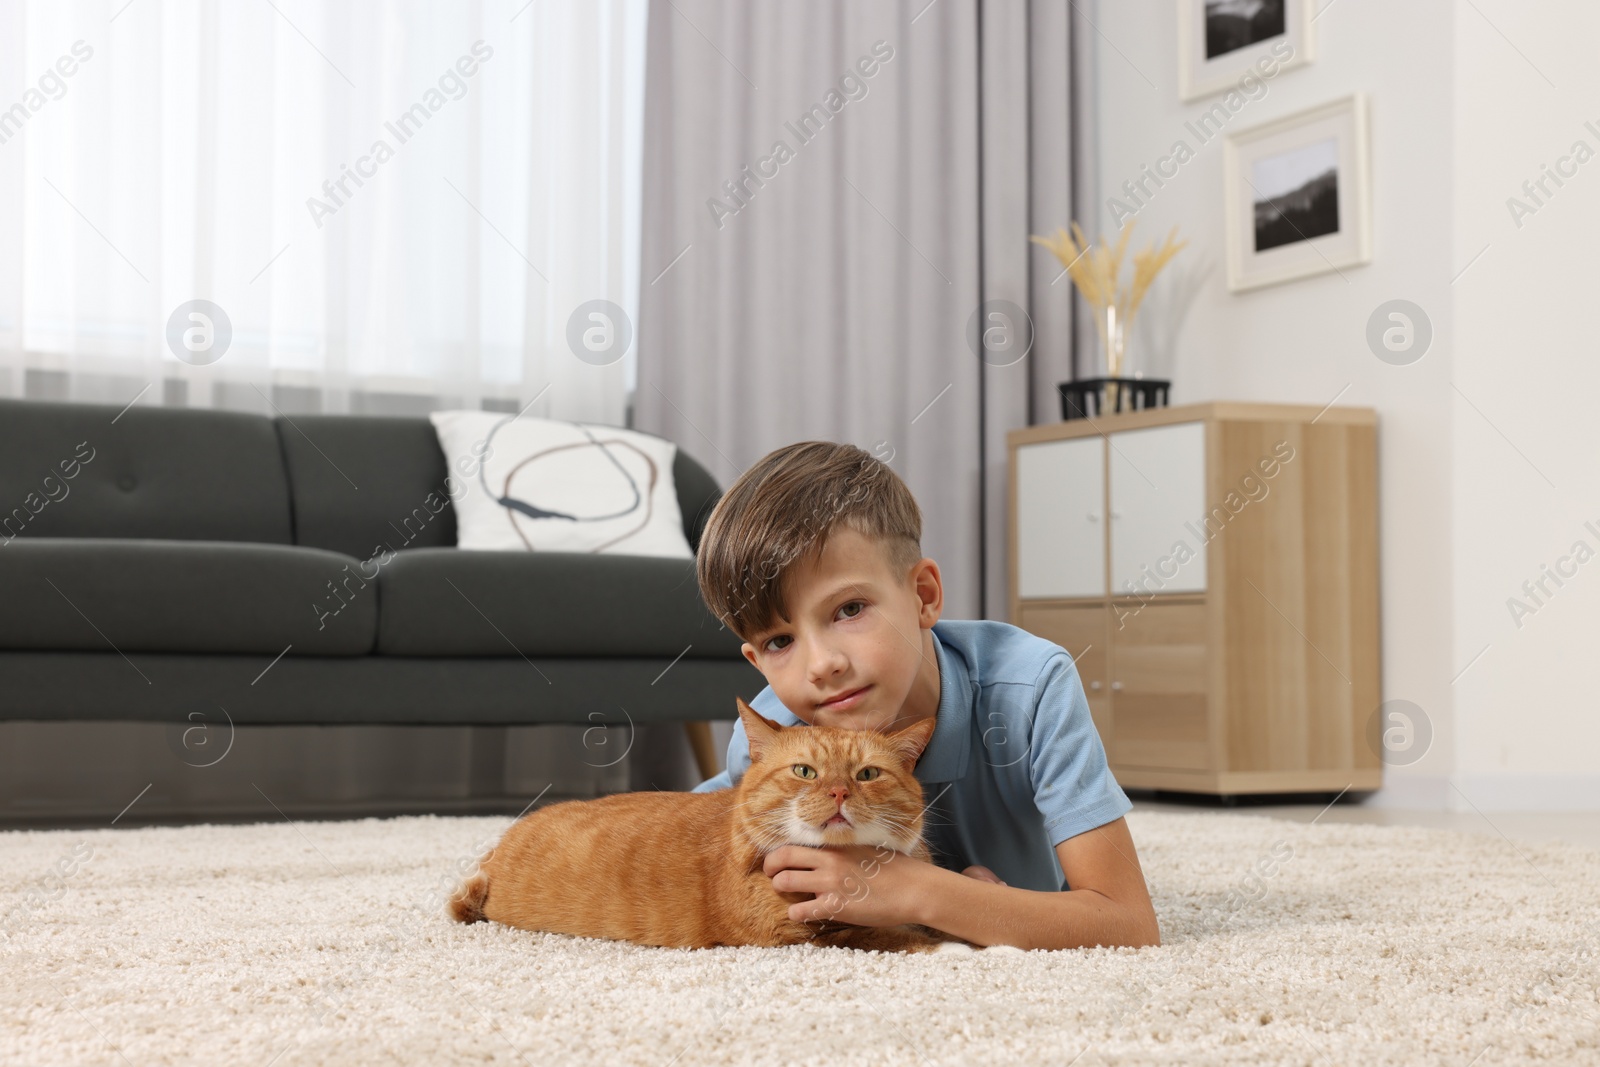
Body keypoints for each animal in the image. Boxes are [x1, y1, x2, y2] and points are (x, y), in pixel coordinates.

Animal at [444, 697, 966, 953]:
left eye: (867, 775)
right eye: (805, 772)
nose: (839, 792)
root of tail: (499, 846)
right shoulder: (790, 935)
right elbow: (878, 935)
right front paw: (955, 947)